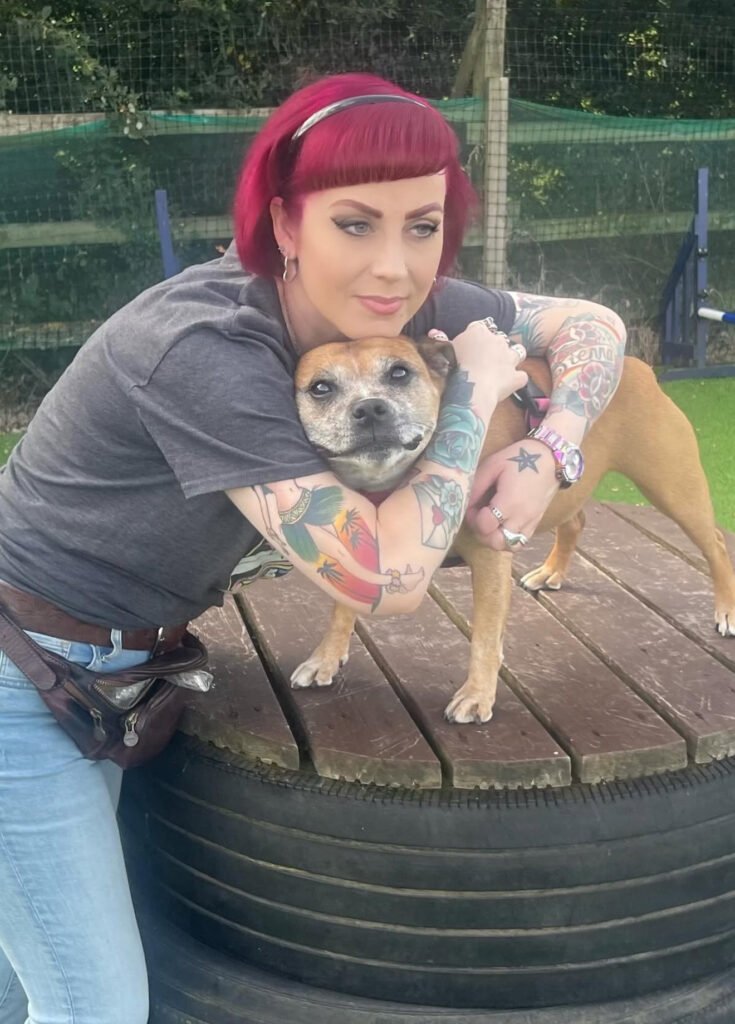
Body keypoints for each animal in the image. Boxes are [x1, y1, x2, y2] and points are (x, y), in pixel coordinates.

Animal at [290, 334, 735, 724]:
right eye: (321, 388)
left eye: (400, 373)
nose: (369, 408)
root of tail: (638, 367)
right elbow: (341, 606)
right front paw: (326, 656)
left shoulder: (490, 560)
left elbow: (485, 637)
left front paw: (477, 696)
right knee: (575, 521)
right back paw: (550, 572)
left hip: (674, 487)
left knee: (714, 541)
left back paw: (726, 610)